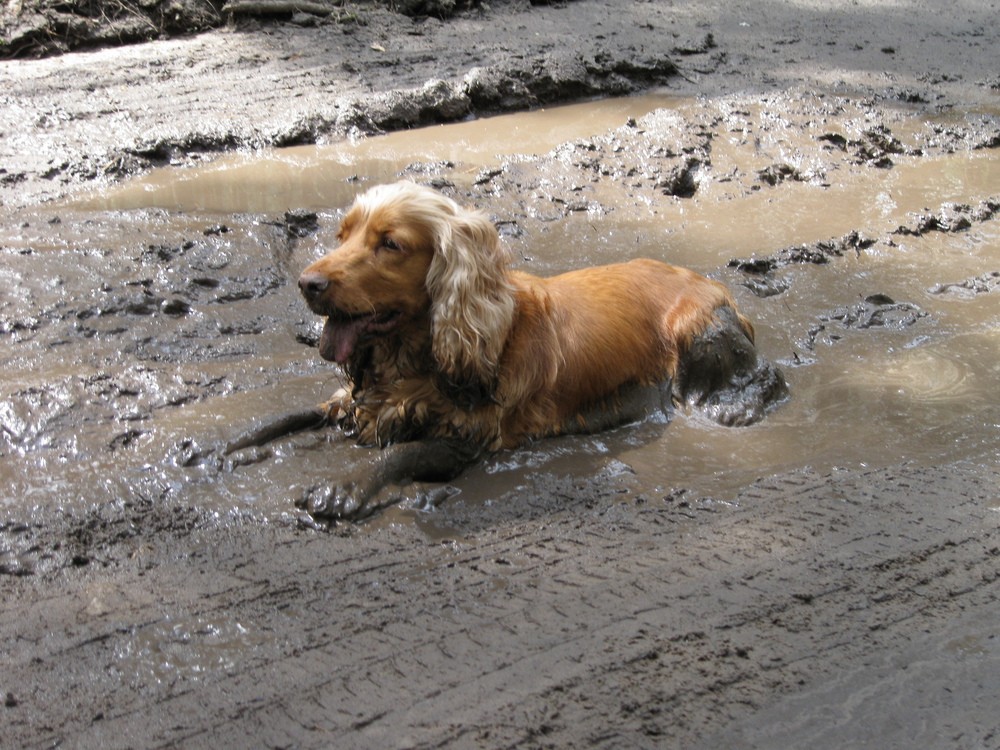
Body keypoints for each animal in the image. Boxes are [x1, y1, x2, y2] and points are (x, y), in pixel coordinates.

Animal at [292, 183, 784, 524]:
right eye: (342, 235)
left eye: (390, 243)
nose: (306, 283)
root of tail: (715, 285)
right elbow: (292, 418)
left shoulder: (468, 438)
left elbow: (400, 454)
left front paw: (345, 487)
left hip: (696, 334)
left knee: (767, 378)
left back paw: (736, 408)